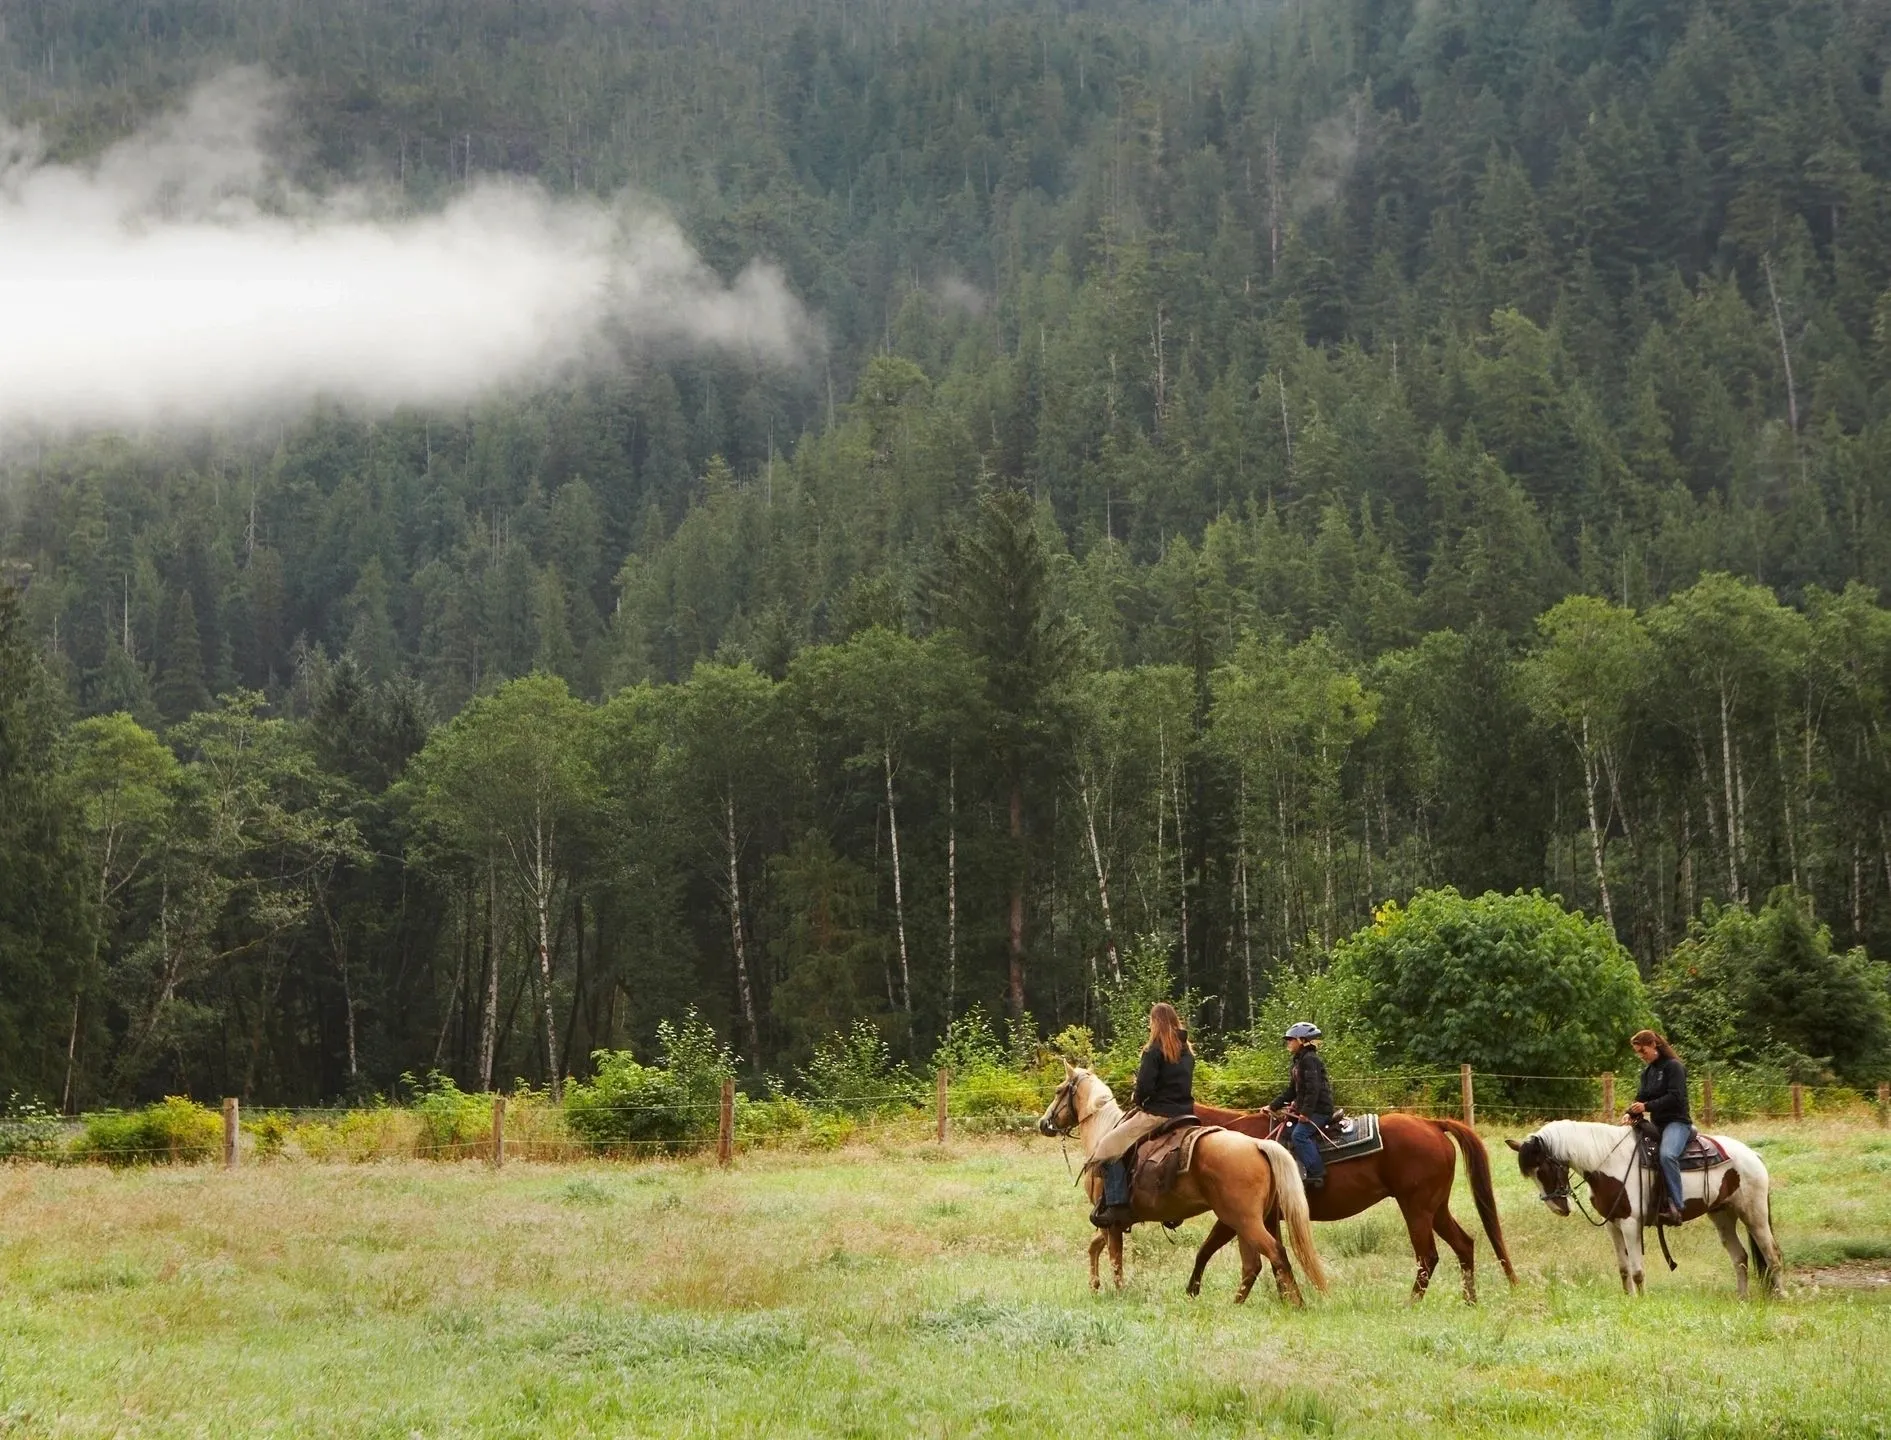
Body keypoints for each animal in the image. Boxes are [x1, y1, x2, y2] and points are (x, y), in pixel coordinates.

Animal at [1036, 1058, 1331, 1300]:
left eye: (1059, 1090)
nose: (1043, 1123)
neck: (1102, 1134)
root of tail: (1258, 1145)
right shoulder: (1110, 1223)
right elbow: (1094, 1247)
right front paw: (1095, 1284)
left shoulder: (1111, 1221)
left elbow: (1115, 1259)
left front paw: (1117, 1293)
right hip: (1249, 1222)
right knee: (1254, 1264)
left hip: (1244, 1221)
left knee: (1274, 1254)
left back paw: (1293, 1303)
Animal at [1187, 1096, 1512, 1300]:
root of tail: (1433, 1124)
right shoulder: (1265, 1219)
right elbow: (1276, 1261)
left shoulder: (1234, 1216)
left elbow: (1206, 1250)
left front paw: (1192, 1293)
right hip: (1437, 1208)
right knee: (1464, 1244)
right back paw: (1470, 1300)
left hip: (1417, 1208)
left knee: (1428, 1257)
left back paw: (1410, 1304)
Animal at [1505, 1118, 1785, 1292]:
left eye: (1543, 1168)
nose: (1558, 1208)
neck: (1609, 1161)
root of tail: (1753, 1155)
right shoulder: (1613, 1225)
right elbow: (1623, 1269)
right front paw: (1629, 1299)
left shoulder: (1631, 1223)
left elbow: (1638, 1270)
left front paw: (1641, 1300)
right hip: (1722, 1214)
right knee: (1740, 1258)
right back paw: (1742, 1298)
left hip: (1754, 1213)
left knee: (1772, 1256)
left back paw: (1780, 1296)